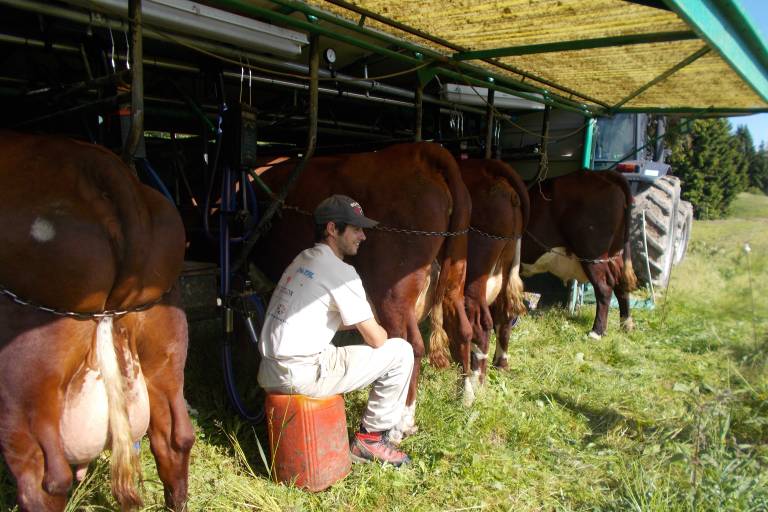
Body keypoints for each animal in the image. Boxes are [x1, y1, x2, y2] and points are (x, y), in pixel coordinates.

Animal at [252, 142, 472, 442]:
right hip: (452, 275)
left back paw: (400, 423)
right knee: (462, 326)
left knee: (411, 344)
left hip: (392, 291)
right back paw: (468, 396)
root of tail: (420, 151)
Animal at [456, 158, 528, 406]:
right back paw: (500, 365)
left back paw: (470, 388)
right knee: (503, 318)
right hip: (503, 272)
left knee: (478, 326)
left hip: (473, 278)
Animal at [520, 171, 636, 340]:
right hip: (614, 253)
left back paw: (596, 331)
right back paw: (626, 324)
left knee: (604, 287)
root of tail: (602, 174)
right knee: (621, 284)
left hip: (592, 254)